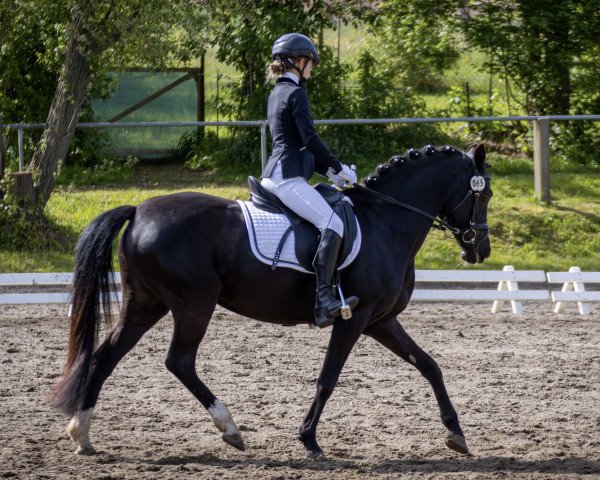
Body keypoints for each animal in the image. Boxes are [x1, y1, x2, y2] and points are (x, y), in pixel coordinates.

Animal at [50, 142, 492, 458]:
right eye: (483, 194)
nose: (480, 251)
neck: (386, 222)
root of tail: (139, 210)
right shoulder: (354, 316)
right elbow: (328, 378)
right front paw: (309, 439)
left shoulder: (380, 321)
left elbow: (430, 366)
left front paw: (456, 434)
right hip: (194, 304)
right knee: (179, 361)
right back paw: (230, 428)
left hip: (146, 303)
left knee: (106, 355)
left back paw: (82, 434)